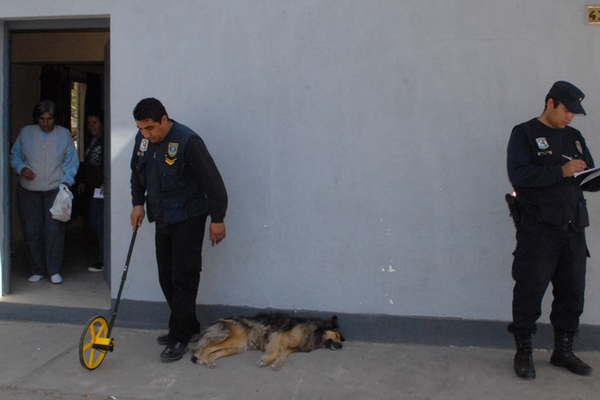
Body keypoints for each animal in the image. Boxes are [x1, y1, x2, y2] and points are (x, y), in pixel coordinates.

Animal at [190, 312, 344, 368]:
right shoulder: (278, 336)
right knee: (204, 348)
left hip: (237, 346)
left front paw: (277, 364)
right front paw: (266, 360)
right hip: (234, 338)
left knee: (213, 352)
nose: (341, 346)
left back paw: (210, 361)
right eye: (337, 336)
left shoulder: (290, 348)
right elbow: (275, 351)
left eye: (341, 339)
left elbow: (284, 354)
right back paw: (203, 359)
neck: (315, 332)